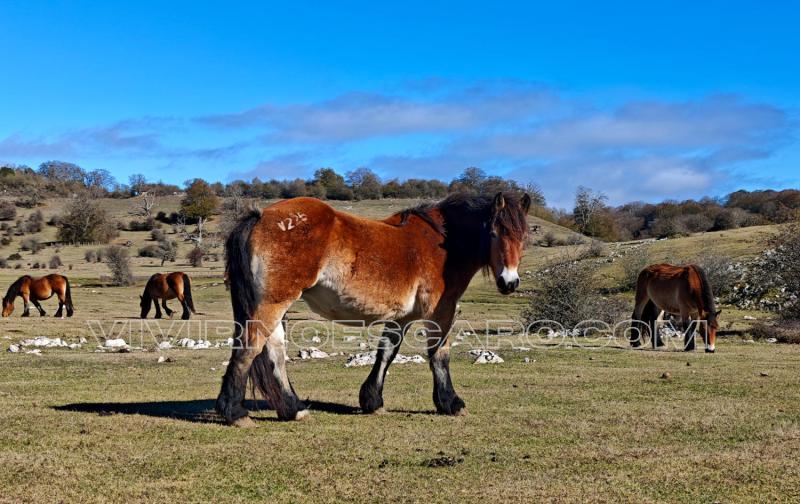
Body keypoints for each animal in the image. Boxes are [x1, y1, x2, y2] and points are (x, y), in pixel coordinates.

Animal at [216, 192, 532, 427]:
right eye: (494, 233)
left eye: (523, 237)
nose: (510, 282)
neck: (443, 244)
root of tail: (261, 217)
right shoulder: (441, 313)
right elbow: (439, 356)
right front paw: (451, 403)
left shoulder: (401, 318)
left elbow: (386, 353)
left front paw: (372, 401)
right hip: (273, 303)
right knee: (250, 348)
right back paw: (235, 413)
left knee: (275, 354)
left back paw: (294, 409)